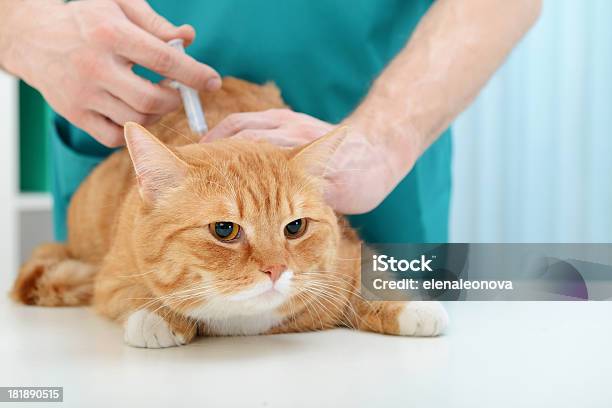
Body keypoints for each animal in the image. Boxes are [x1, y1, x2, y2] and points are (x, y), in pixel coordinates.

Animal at [11, 77, 448, 348]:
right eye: (224, 230)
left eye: (295, 227)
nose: (276, 270)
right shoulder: (109, 282)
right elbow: (139, 295)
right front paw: (157, 318)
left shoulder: (350, 256)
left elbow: (376, 281)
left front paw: (412, 308)